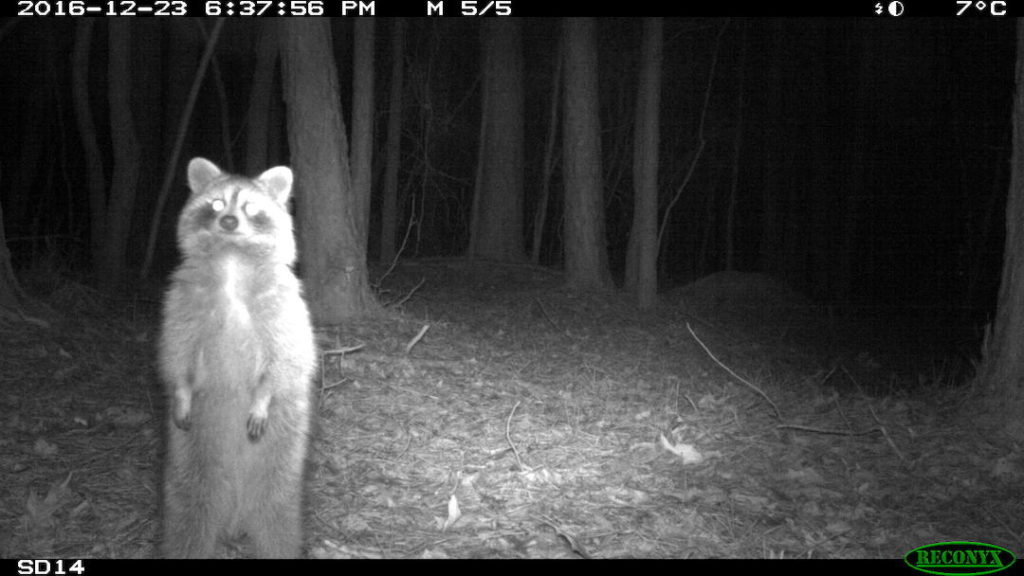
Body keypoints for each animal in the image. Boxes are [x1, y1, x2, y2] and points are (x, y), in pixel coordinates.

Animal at [158, 155, 315, 557]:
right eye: (216, 204)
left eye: (250, 208)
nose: (228, 221)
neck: (232, 257)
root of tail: (235, 516)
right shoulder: (182, 302)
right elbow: (177, 352)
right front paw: (181, 390)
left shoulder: (285, 308)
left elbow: (284, 359)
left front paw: (262, 395)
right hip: (191, 452)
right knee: (190, 507)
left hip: (282, 449)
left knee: (277, 512)